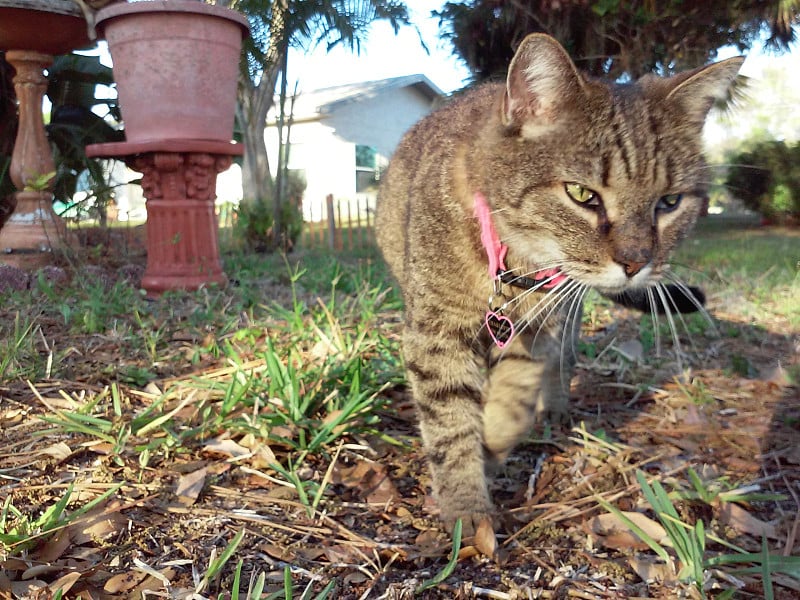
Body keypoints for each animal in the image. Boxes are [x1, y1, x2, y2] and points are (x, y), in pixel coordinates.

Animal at [376, 34, 744, 536]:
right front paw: (466, 508)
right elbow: (450, 421)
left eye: (669, 203)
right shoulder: (436, 332)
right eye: (582, 194)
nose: (636, 263)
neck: (516, 269)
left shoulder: (542, 324)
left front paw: (495, 438)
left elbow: (517, 391)